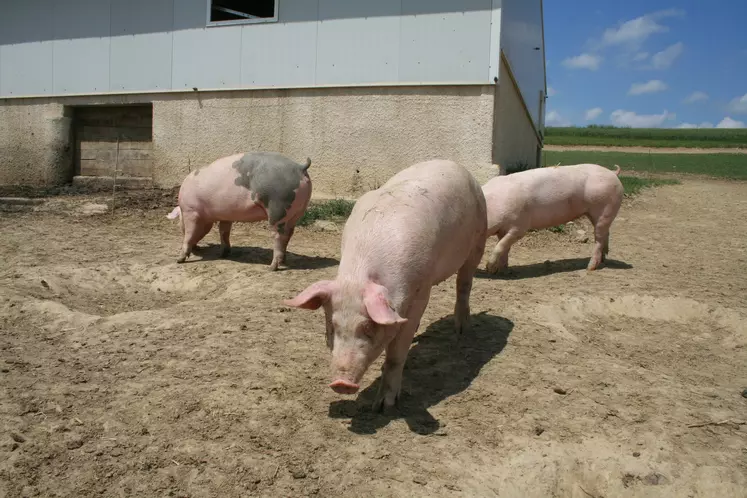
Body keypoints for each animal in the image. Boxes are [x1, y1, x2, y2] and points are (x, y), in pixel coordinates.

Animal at [167, 151, 312, 270]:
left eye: (180, 223)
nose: (197, 249)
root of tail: (300, 168)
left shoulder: (191, 211)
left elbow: (190, 234)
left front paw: (179, 260)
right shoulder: (225, 216)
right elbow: (224, 232)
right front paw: (223, 254)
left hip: (277, 208)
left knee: (278, 236)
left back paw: (271, 267)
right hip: (297, 213)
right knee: (288, 234)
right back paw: (283, 261)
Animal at [284, 160, 488, 412]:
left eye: (369, 326)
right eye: (332, 326)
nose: (341, 383)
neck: (360, 274)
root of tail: (452, 163)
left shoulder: (422, 290)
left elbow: (396, 353)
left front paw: (383, 407)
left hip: (479, 237)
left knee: (464, 283)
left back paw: (462, 330)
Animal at [480, 162, 624, 272]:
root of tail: (613, 173)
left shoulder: (520, 226)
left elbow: (501, 246)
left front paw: (489, 268)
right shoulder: (503, 229)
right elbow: (504, 247)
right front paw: (501, 269)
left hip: (606, 209)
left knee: (599, 238)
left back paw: (590, 267)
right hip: (597, 214)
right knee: (605, 234)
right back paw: (604, 259)